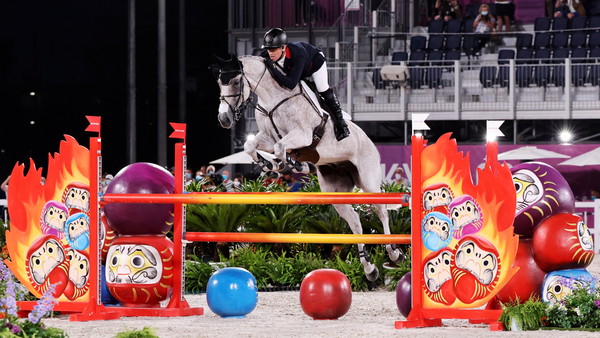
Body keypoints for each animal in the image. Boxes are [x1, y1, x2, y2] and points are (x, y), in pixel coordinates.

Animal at [211, 54, 404, 280]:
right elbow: (252, 146)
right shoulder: (267, 137)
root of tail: (369, 141)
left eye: (235, 82)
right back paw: (369, 268)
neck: (273, 99)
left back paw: (394, 253)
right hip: (335, 192)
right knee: (355, 220)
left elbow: (280, 147)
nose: (224, 119)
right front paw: (270, 163)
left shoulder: (302, 135)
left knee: (382, 212)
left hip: (369, 182)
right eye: (219, 83)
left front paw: (291, 164)